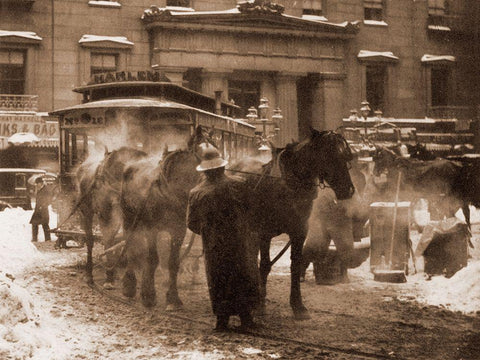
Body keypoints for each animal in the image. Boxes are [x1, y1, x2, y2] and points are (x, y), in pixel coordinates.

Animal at [75, 147, 148, 286]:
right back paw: (89, 274)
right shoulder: (105, 212)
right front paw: (109, 278)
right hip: (86, 209)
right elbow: (109, 238)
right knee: (90, 239)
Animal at [118, 125, 208, 308]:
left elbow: (173, 263)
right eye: (205, 152)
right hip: (129, 218)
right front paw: (148, 295)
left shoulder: (178, 231)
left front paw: (173, 298)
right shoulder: (152, 229)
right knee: (131, 247)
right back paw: (129, 286)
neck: (170, 190)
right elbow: (153, 259)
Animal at [229, 128, 356, 320]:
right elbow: (264, 265)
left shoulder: (299, 233)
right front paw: (260, 305)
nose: (348, 190)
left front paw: (298, 306)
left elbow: (295, 265)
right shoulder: (264, 233)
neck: (287, 186)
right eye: (330, 155)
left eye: (345, 156)